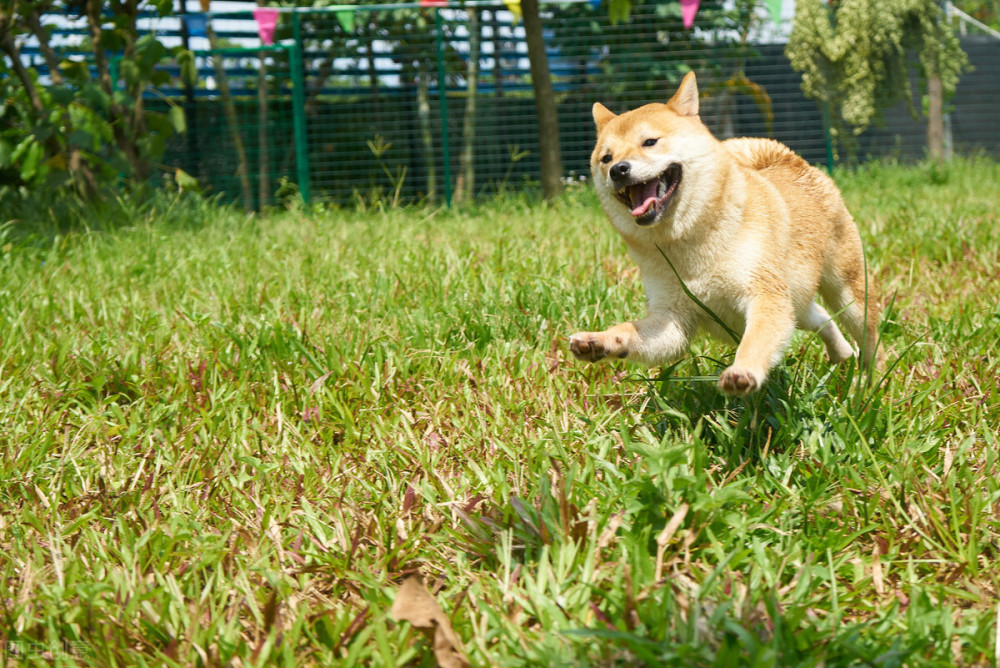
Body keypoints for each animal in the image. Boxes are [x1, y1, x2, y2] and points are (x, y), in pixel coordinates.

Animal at [572, 72, 884, 396]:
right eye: (606, 158)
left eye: (649, 142)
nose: (618, 170)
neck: (686, 243)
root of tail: (791, 161)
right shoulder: (672, 318)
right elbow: (633, 332)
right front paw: (600, 340)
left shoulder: (764, 295)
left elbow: (755, 342)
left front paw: (743, 371)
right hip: (796, 305)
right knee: (821, 317)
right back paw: (841, 353)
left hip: (847, 294)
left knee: (870, 338)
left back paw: (872, 380)